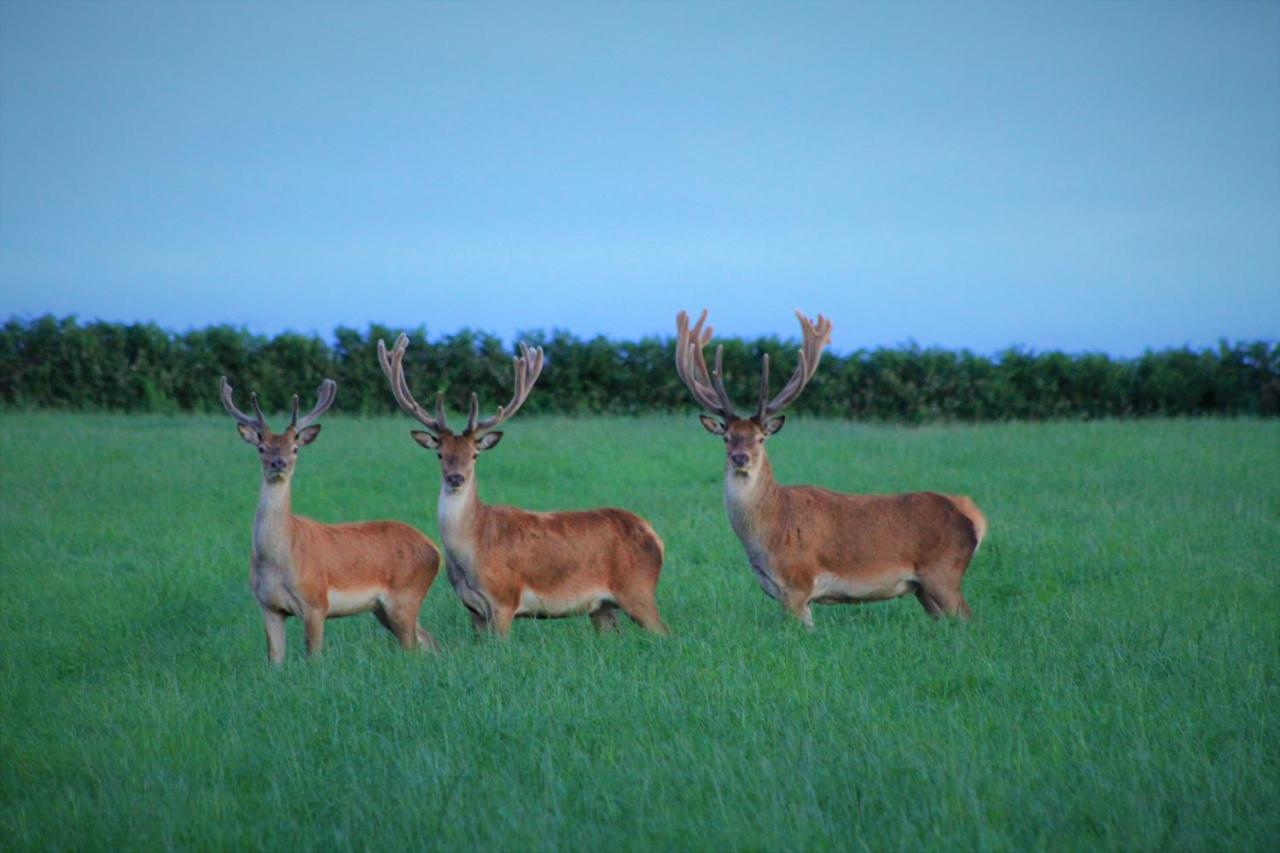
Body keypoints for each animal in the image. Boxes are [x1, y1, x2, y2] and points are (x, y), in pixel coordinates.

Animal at [220, 376, 440, 660]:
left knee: (413, 645)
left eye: (294, 448)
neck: (278, 559)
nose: (278, 464)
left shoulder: (315, 602)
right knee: (428, 640)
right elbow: (274, 659)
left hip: (405, 596)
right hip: (382, 608)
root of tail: (435, 548)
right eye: (261, 448)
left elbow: (313, 656)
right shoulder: (268, 606)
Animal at [373, 335, 665, 635]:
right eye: (440, 453)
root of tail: (655, 536)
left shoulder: (504, 599)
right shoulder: (472, 610)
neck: (473, 549)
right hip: (602, 607)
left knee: (664, 631)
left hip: (637, 589)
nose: (456, 478)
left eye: (474, 455)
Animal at [675, 311, 983, 625]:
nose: (740, 458)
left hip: (944, 572)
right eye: (727, 437)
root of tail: (973, 516)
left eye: (760, 438)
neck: (768, 532)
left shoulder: (798, 583)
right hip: (924, 588)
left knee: (969, 618)